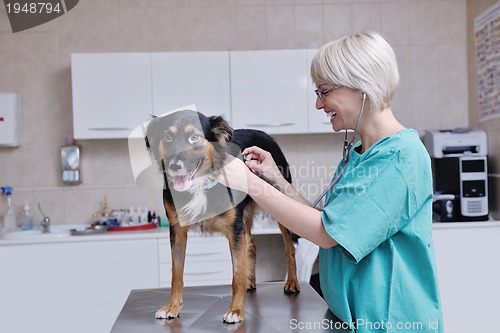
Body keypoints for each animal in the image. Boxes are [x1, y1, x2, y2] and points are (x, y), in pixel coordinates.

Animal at [146, 109, 298, 322]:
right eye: (167, 137)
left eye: (194, 137)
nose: (175, 166)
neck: (199, 184)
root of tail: (264, 133)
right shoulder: (177, 230)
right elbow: (176, 274)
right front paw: (173, 307)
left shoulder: (235, 228)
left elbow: (236, 275)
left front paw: (236, 310)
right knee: (252, 247)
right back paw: (251, 281)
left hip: (280, 203)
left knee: (289, 246)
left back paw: (292, 282)